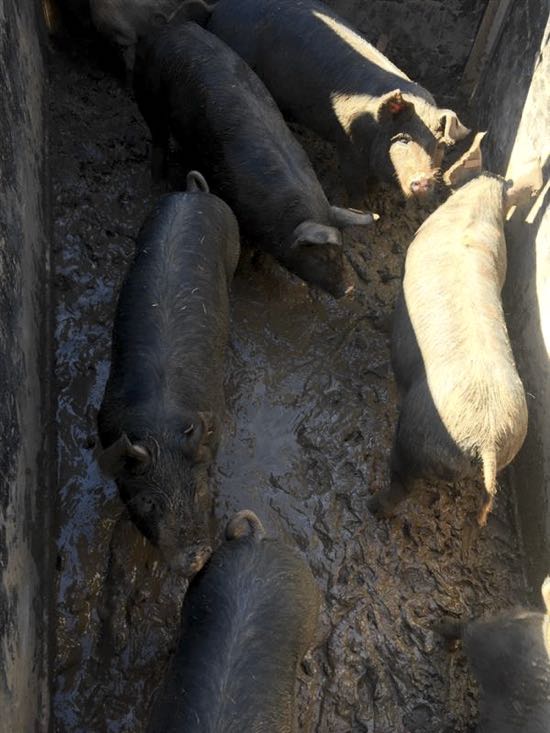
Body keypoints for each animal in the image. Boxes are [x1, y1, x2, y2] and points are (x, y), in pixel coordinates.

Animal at [133, 20, 378, 299]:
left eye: (341, 251)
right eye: (321, 257)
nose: (348, 289)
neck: (281, 214)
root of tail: (164, 29)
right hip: (148, 91)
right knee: (158, 137)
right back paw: (158, 182)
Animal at [197, 0, 470, 203]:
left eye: (439, 146)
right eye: (403, 139)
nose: (423, 181)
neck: (373, 129)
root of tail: (220, 9)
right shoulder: (348, 145)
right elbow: (354, 184)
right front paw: (363, 208)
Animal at [368, 173, 529, 526]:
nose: (495, 174)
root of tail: (487, 440)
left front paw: (374, 322)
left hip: (415, 439)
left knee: (400, 482)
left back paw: (372, 506)